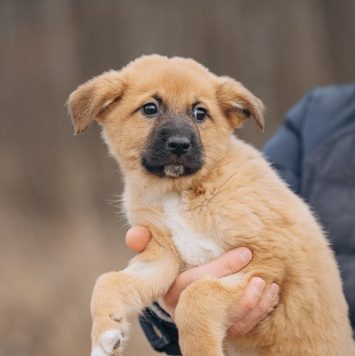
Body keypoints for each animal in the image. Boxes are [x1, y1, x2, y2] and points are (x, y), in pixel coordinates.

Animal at [67, 54, 355, 354]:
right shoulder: (164, 255)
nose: (180, 145)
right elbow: (108, 281)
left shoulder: (267, 260)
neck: (181, 193)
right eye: (150, 108)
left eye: (200, 113)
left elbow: (197, 296)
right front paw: (106, 335)